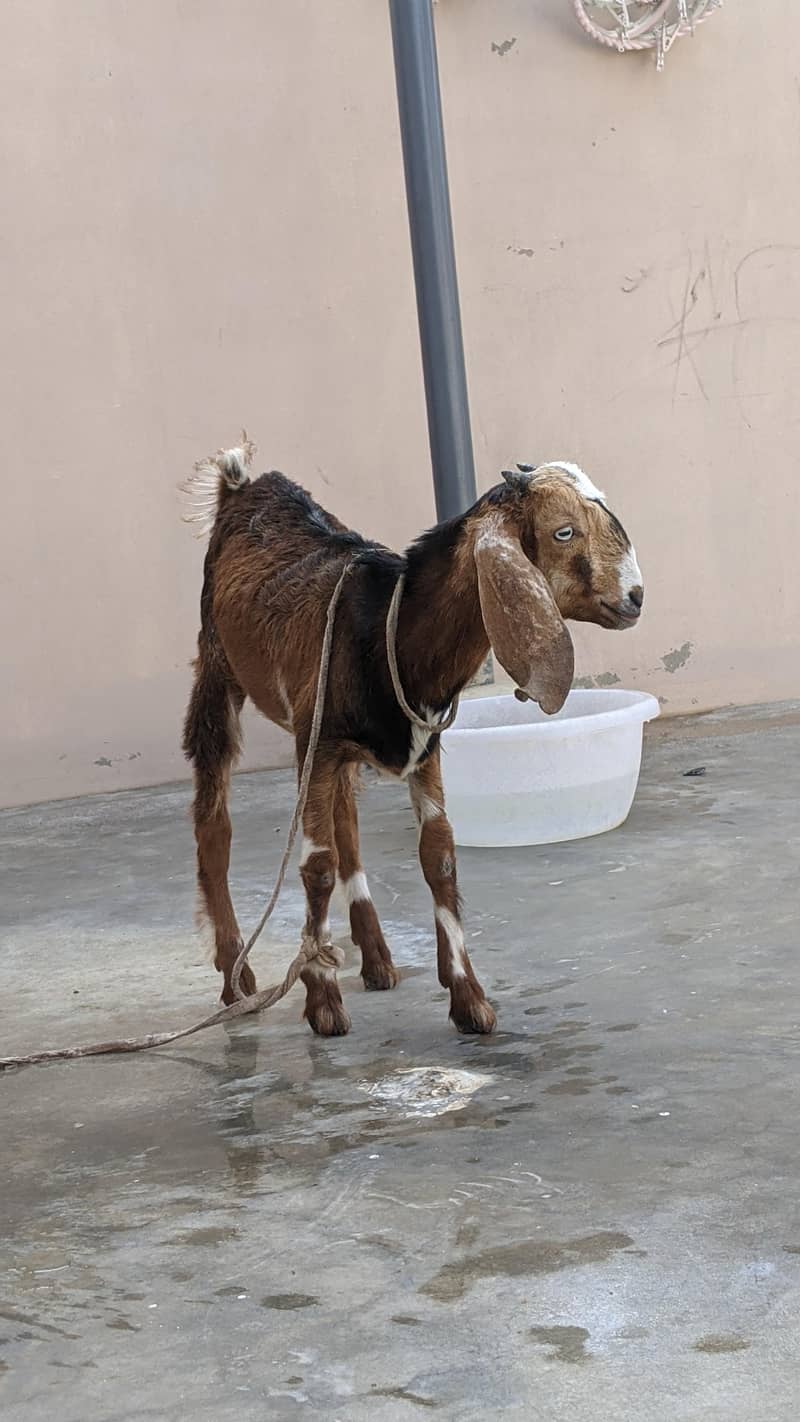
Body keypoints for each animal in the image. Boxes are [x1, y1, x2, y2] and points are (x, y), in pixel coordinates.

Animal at [182, 439, 643, 1037]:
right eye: (564, 531)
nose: (636, 597)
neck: (390, 629)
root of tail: (241, 487)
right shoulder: (318, 744)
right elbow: (317, 867)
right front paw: (323, 1001)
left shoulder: (423, 749)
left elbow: (438, 856)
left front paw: (468, 997)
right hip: (218, 670)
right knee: (214, 824)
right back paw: (234, 978)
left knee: (347, 824)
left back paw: (377, 959)